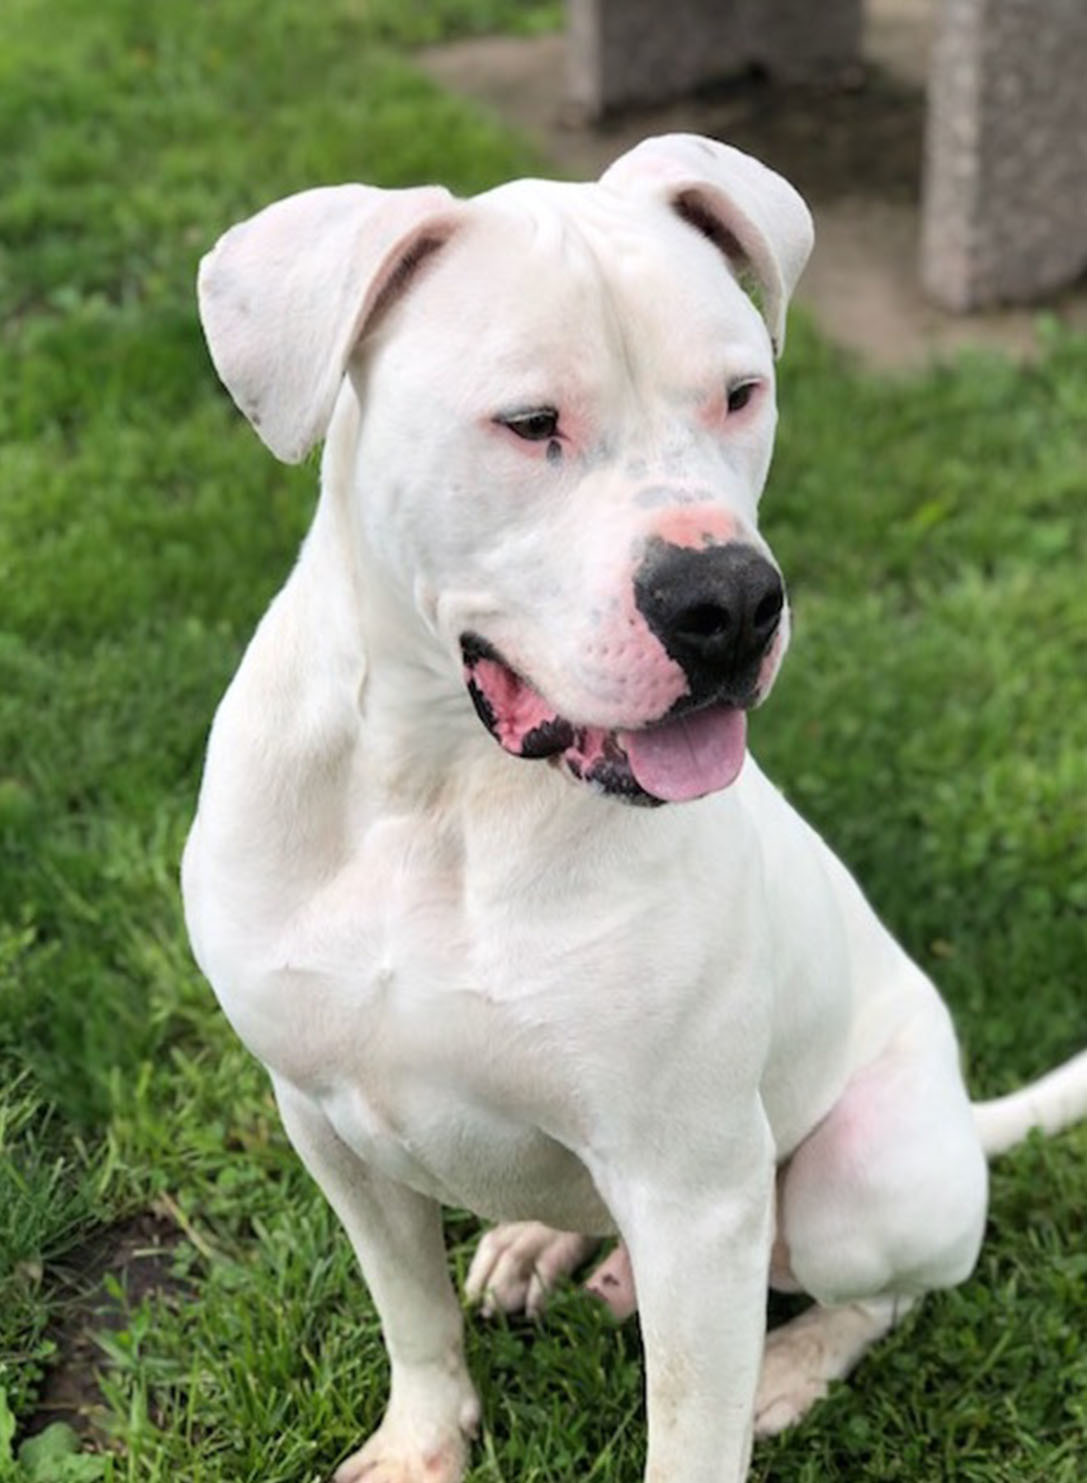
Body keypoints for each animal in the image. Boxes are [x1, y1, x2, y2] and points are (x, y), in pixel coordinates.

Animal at [182, 139, 1079, 1483]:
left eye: (741, 394)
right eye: (528, 423)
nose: (730, 602)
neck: (437, 790)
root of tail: (968, 1124)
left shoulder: (695, 1195)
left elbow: (692, 1426)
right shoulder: (327, 1122)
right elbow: (411, 1310)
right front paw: (422, 1440)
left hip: (853, 1186)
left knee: (885, 1291)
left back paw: (794, 1363)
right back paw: (537, 1245)